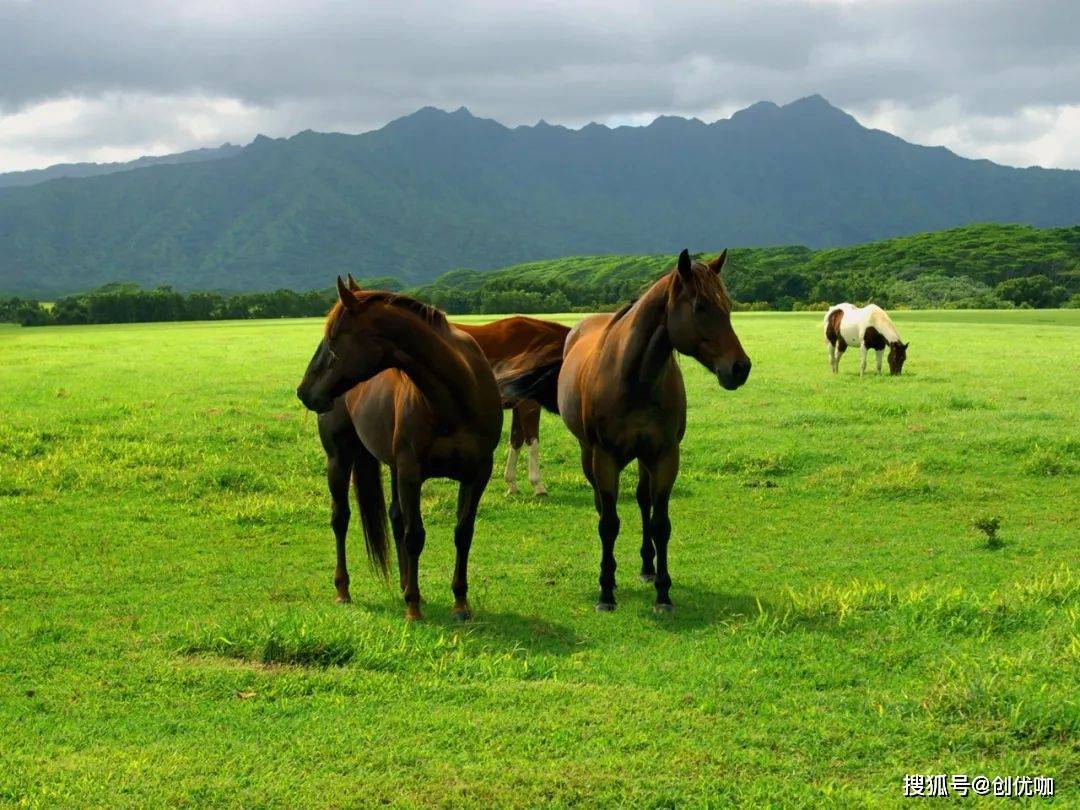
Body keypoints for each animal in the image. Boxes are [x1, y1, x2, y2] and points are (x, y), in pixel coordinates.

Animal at [291, 278, 501, 622]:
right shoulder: (411, 472)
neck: (456, 396)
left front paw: (460, 602)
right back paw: (344, 590)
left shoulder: (478, 473)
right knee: (341, 518)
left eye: (333, 338)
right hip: (340, 459)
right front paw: (413, 608)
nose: (304, 391)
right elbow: (415, 536)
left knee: (395, 518)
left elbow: (463, 533)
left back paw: (404, 585)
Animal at [453, 319, 574, 498]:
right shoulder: (529, 404)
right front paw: (538, 486)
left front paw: (511, 483)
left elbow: (516, 440)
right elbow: (532, 442)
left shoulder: (518, 405)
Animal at [507, 250, 751, 613]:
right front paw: (606, 591)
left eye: (728, 305)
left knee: (642, 500)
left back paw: (647, 567)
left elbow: (660, 523)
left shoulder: (665, 456)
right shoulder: (605, 457)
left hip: (643, 458)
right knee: (601, 504)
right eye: (700, 307)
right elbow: (609, 523)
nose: (740, 368)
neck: (634, 377)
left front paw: (663, 593)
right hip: (589, 454)